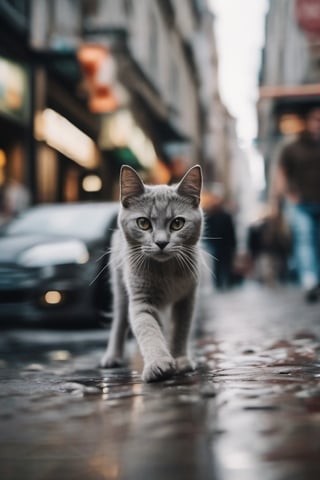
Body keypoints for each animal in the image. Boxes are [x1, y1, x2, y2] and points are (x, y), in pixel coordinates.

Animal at [100, 165, 202, 382]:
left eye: (178, 223)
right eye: (143, 223)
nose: (161, 243)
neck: (165, 271)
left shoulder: (186, 299)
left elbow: (180, 331)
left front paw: (180, 359)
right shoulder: (141, 301)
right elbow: (149, 331)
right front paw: (158, 364)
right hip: (120, 288)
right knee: (119, 321)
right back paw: (112, 357)